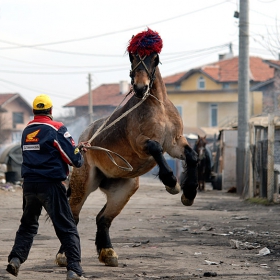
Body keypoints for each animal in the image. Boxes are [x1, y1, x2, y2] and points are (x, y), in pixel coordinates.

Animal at [55, 28, 198, 266]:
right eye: (132, 56)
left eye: (153, 57)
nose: (140, 88)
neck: (157, 107)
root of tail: (83, 141)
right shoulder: (141, 144)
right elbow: (155, 148)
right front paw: (171, 182)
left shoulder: (174, 143)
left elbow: (192, 156)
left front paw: (189, 193)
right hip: (84, 184)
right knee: (73, 217)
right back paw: (64, 256)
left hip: (124, 190)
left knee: (103, 219)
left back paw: (108, 253)